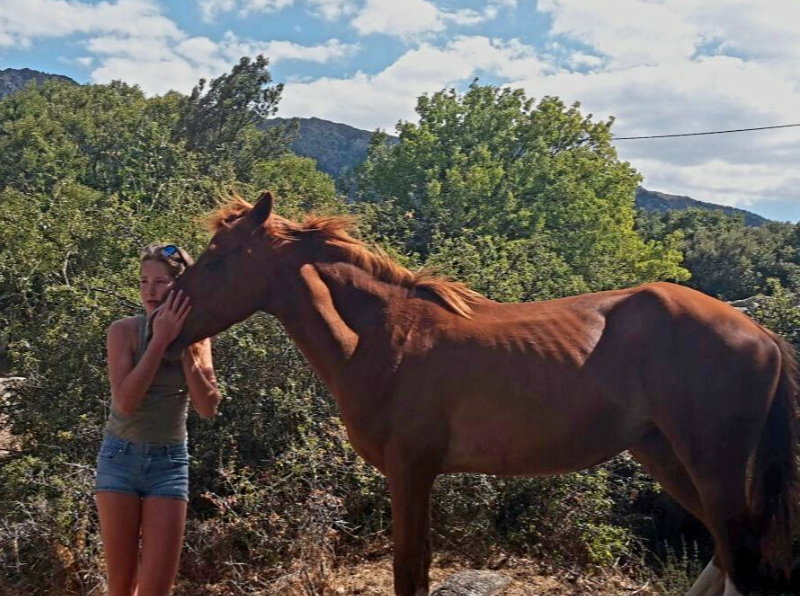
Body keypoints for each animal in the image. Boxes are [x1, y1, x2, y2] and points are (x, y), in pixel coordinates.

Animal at [170, 191, 800, 596]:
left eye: (220, 257)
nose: (166, 319)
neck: (384, 336)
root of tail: (762, 333)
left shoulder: (411, 469)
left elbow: (410, 568)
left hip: (712, 465)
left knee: (742, 559)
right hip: (666, 455)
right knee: (726, 554)